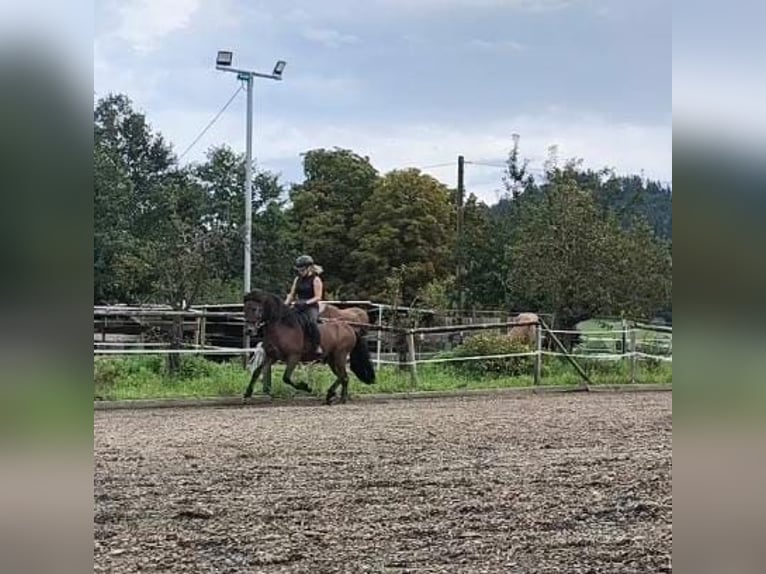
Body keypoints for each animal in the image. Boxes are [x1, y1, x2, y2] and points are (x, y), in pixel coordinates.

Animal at [243, 290, 376, 408]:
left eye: (255, 309)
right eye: (245, 309)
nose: (249, 330)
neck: (282, 327)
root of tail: (349, 327)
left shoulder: (293, 357)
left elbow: (286, 377)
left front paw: (306, 387)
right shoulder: (271, 356)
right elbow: (256, 372)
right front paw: (247, 394)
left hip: (340, 356)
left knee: (344, 376)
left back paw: (339, 398)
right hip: (331, 359)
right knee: (342, 377)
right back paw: (333, 397)